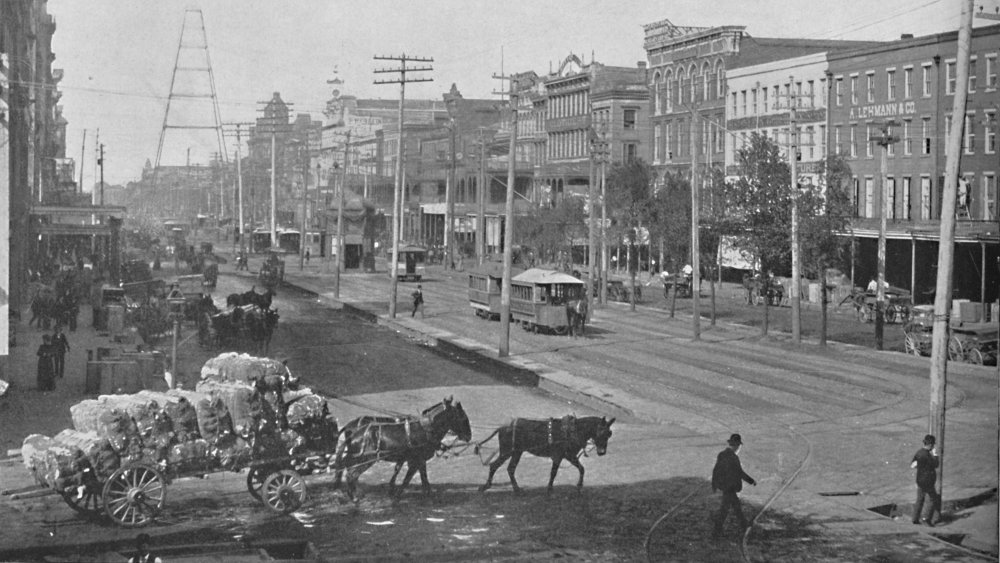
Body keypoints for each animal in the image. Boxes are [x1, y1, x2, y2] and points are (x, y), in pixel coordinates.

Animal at [334, 396, 474, 502]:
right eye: (463, 418)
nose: (468, 436)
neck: (425, 429)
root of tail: (353, 433)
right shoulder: (416, 461)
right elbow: (408, 479)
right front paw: (396, 496)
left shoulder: (418, 461)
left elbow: (423, 480)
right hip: (367, 459)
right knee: (351, 475)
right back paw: (354, 497)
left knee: (348, 471)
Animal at [474, 416, 608, 496]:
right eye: (602, 432)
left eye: (609, 433)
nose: (602, 452)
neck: (573, 430)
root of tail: (502, 427)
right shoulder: (559, 455)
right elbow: (553, 472)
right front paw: (549, 489)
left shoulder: (569, 455)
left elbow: (581, 468)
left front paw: (579, 486)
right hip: (507, 451)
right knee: (494, 465)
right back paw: (486, 486)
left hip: (516, 452)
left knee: (510, 468)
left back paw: (516, 488)